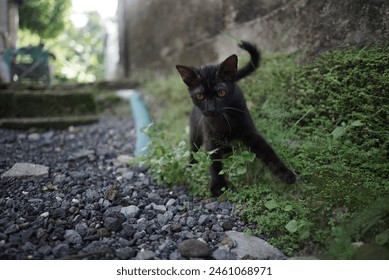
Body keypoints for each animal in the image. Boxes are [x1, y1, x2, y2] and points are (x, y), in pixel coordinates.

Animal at [176, 41, 294, 197]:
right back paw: (191, 166)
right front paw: (218, 185)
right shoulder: (210, 137)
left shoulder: (250, 132)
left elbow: (268, 152)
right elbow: (214, 161)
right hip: (195, 131)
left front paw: (285, 173)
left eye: (221, 93)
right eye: (200, 96)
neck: (223, 120)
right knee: (193, 149)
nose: (211, 109)